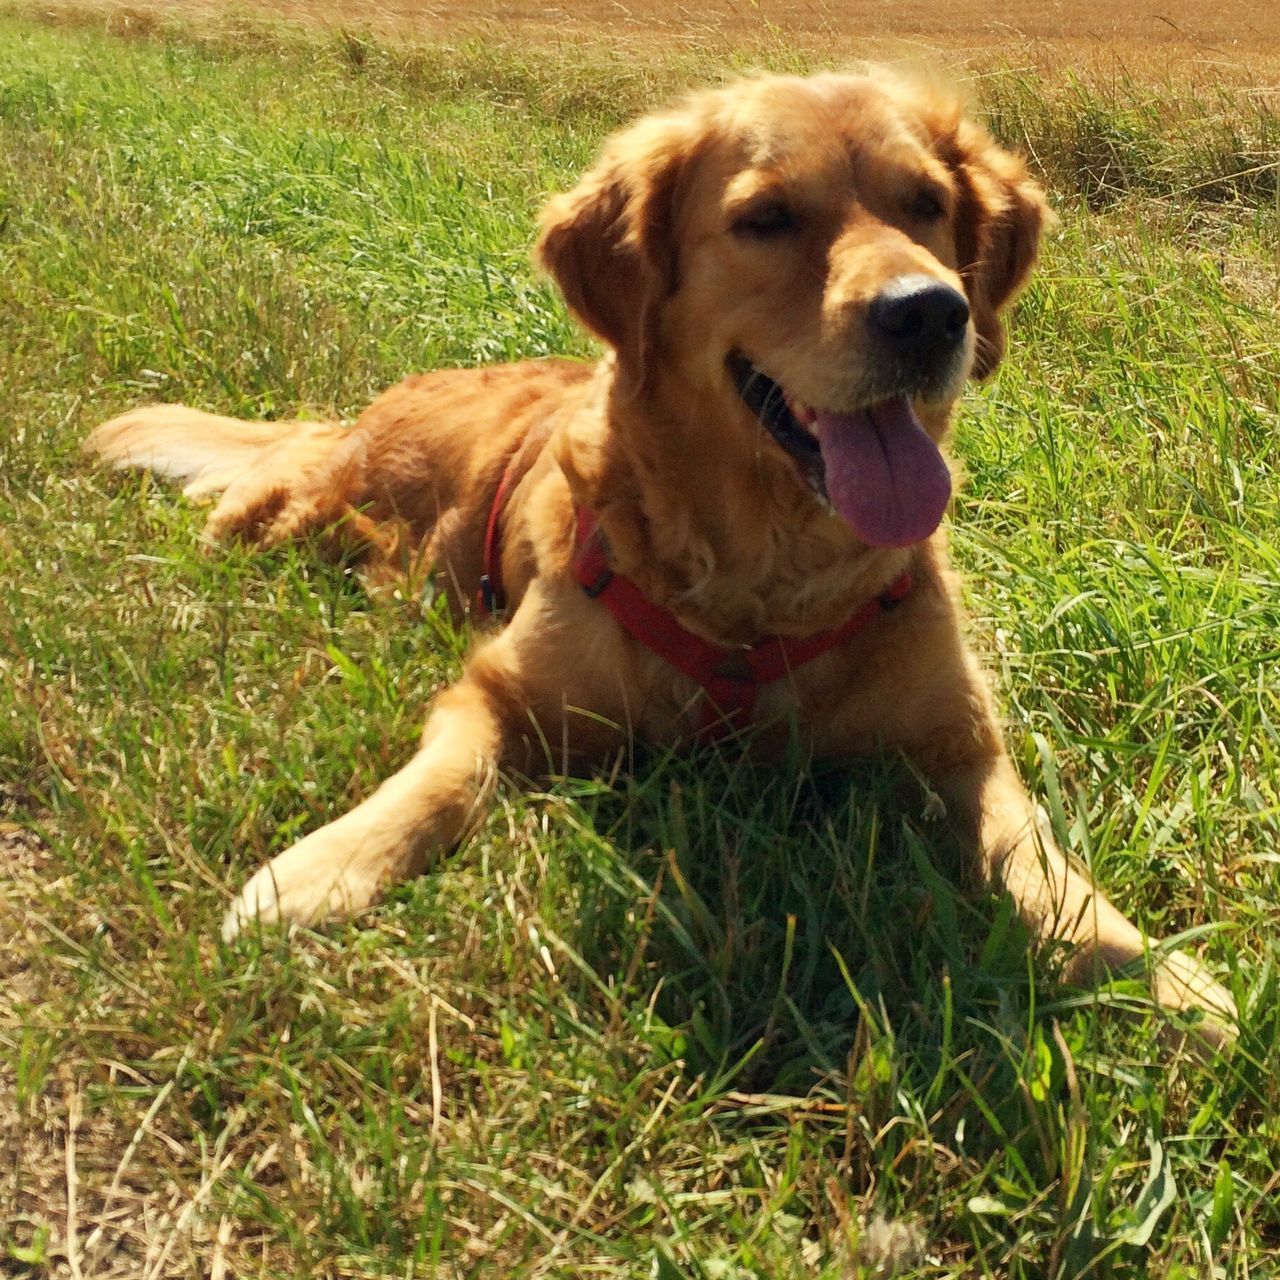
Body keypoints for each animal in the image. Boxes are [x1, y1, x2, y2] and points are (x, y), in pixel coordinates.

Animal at [90, 70, 1239, 1044]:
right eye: (765, 218)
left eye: (925, 203)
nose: (929, 314)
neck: (763, 585)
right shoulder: (501, 689)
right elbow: (437, 783)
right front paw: (317, 872)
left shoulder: (957, 745)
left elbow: (1034, 856)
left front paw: (1160, 975)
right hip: (306, 513)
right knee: (251, 507)